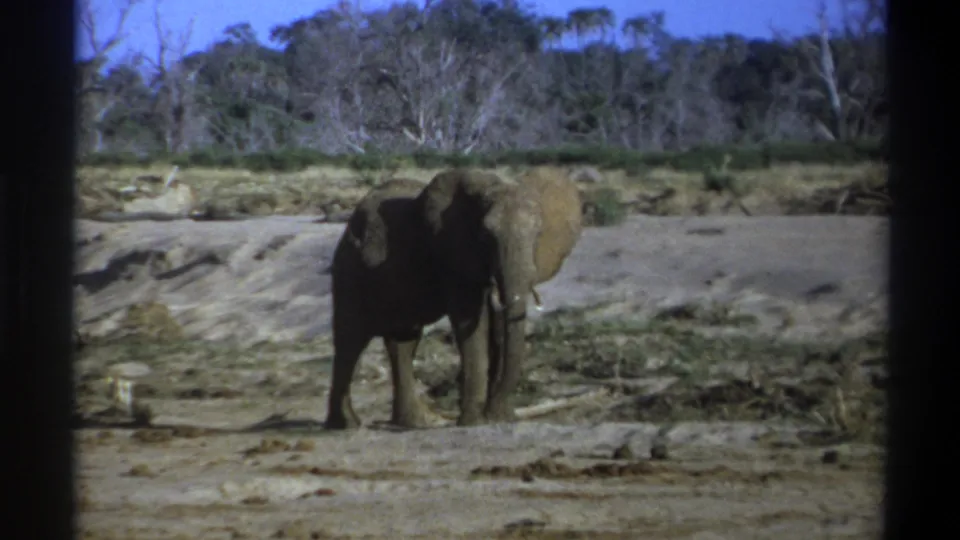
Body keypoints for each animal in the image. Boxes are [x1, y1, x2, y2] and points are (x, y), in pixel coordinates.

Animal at [416, 166, 583, 425]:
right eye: (486, 235)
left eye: (538, 234)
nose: (495, 412)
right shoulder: (456, 254)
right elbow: (469, 320)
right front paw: (473, 421)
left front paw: (499, 417)